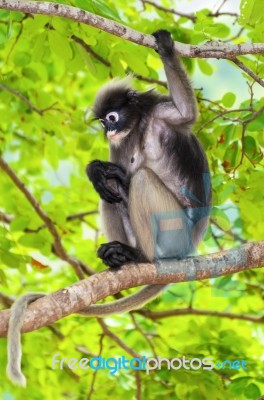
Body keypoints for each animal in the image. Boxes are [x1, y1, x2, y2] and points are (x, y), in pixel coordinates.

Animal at [5, 29, 210, 386]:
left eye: (112, 118)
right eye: (102, 123)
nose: (109, 129)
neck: (139, 127)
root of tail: (192, 246)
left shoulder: (161, 113)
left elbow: (186, 113)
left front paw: (165, 45)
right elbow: (111, 174)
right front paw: (96, 170)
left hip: (175, 234)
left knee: (141, 180)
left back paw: (142, 257)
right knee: (111, 190)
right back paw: (119, 253)